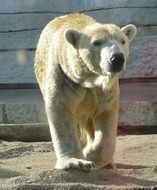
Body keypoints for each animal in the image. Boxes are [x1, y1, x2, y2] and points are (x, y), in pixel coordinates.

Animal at [34, 13, 136, 171]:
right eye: (97, 42)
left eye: (123, 41)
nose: (117, 58)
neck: (88, 79)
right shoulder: (64, 76)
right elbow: (61, 111)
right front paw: (77, 162)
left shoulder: (105, 88)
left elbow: (106, 116)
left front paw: (90, 156)